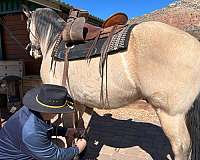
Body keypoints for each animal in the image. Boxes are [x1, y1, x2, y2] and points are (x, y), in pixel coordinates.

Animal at [22, 7, 200, 160]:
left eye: (28, 26)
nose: (32, 51)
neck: (53, 42)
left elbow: (70, 131)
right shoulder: (80, 100)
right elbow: (80, 126)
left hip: (171, 115)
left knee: (181, 148)